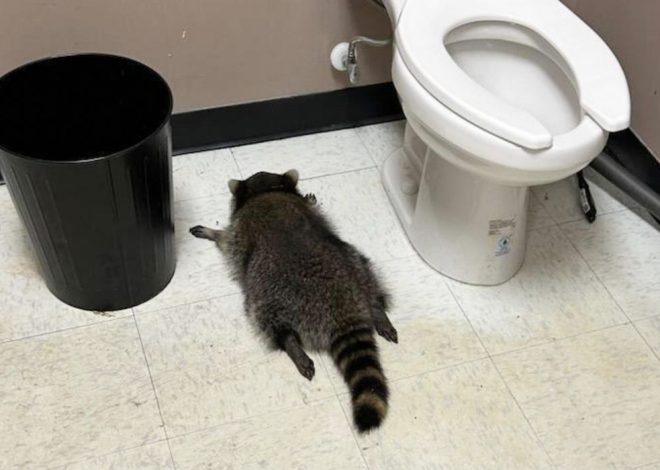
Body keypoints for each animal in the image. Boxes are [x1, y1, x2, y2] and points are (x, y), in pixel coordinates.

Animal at [189, 169, 398, 433]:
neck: (267, 191)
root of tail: (343, 309)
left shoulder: (239, 232)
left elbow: (226, 240)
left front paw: (212, 232)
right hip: (355, 263)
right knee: (367, 276)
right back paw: (377, 310)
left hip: (270, 295)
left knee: (267, 319)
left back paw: (291, 344)